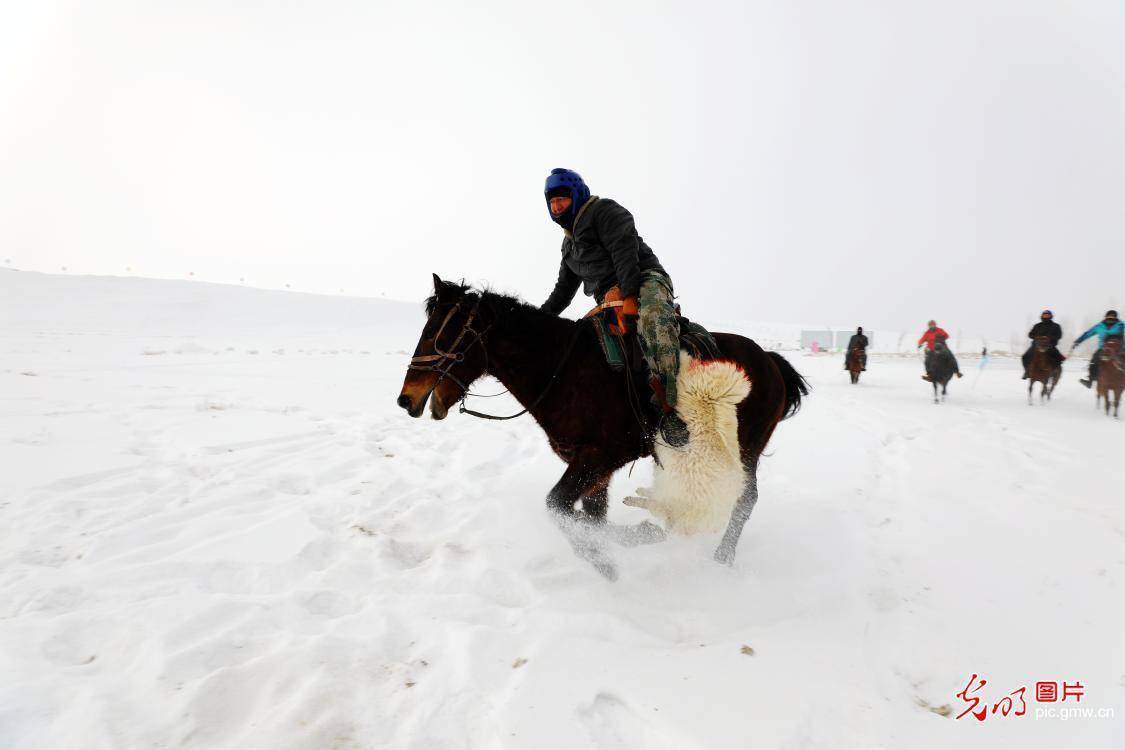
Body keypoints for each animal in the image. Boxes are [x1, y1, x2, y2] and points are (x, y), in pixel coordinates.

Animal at [398, 277, 810, 580]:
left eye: (442, 332)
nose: (407, 399)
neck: (563, 370)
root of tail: (770, 361)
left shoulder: (599, 456)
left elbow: (558, 506)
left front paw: (610, 557)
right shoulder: (595, 468)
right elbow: (591, 516)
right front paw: (623, 548)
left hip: (745, 449)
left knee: (745, 499)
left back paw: (722, 556)